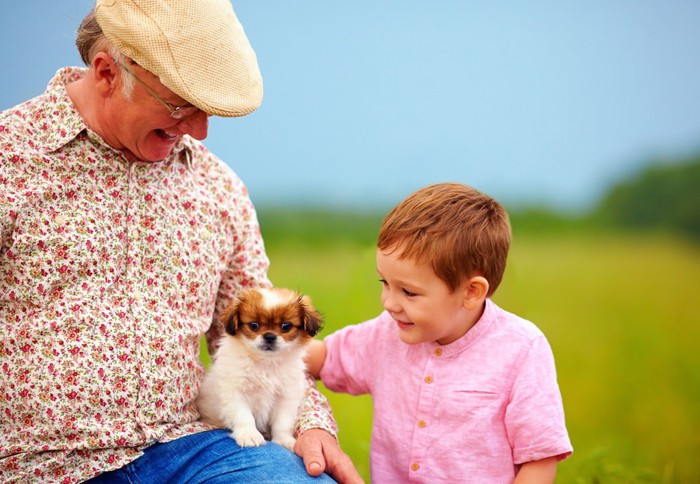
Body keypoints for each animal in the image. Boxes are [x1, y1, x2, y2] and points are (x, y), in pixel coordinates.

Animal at [197, 288, 322, 450]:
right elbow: (244, 417)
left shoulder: (286, 396)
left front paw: (283, 440)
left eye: (286, 326)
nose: (269, 336)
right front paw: (249, 435)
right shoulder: (235, 392)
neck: (266, 363)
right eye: (254, 325)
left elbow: (282, 422)